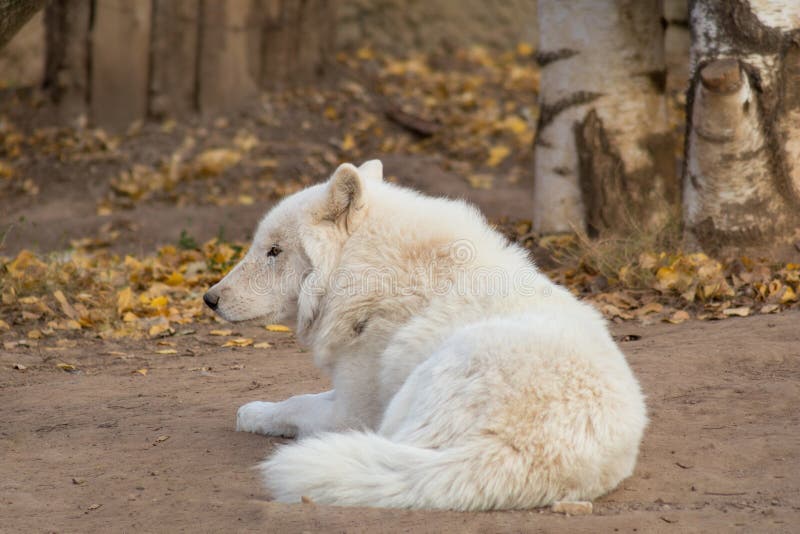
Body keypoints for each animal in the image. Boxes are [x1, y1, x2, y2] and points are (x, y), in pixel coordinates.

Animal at [203, 161, 648, 512]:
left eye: (274, 251)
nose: (209, 299)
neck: (370, 272)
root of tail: (512, 453)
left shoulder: (351, 412)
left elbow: (294, 404)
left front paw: (251, 413)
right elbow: (301, 396)